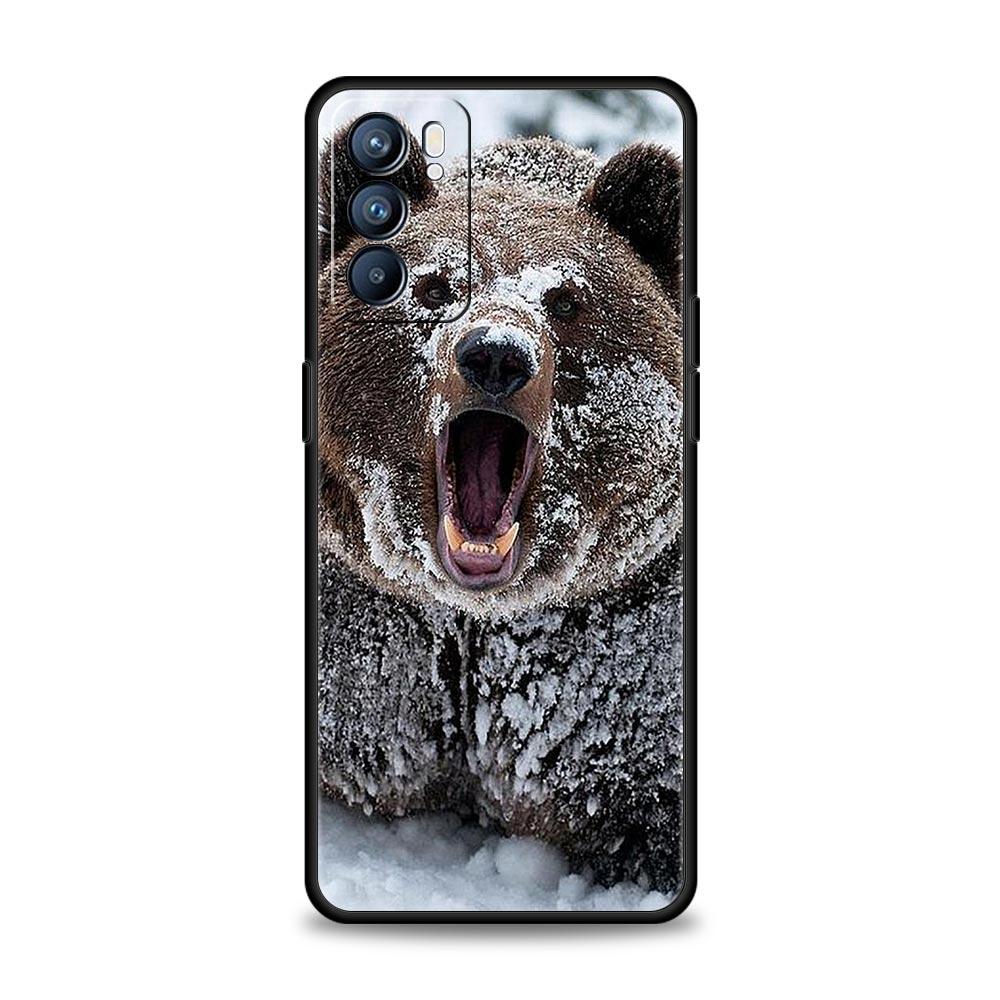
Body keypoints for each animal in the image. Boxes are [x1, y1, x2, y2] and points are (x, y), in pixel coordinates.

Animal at [316, 123, 685, 894]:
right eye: (432, 286)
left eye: (567, 299)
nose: (495, 355)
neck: (474, 622)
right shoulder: (369, 647)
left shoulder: (614, 673)